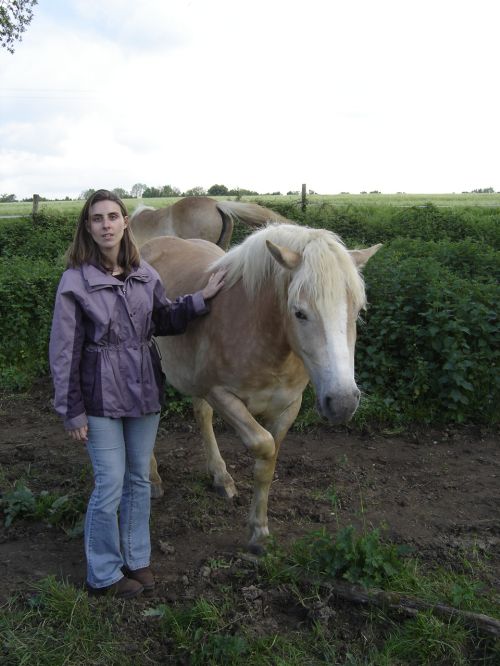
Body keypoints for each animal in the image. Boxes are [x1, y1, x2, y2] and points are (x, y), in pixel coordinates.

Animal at [143, 223, 380, 548]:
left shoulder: (288, 406)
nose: (342, 402)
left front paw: (260, 532)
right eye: (299, 312)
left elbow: (268, 463)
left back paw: (221, 477)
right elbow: (263, 446)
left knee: (202, 415)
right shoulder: (221, 395)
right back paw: (153, 480)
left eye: (357, 311)